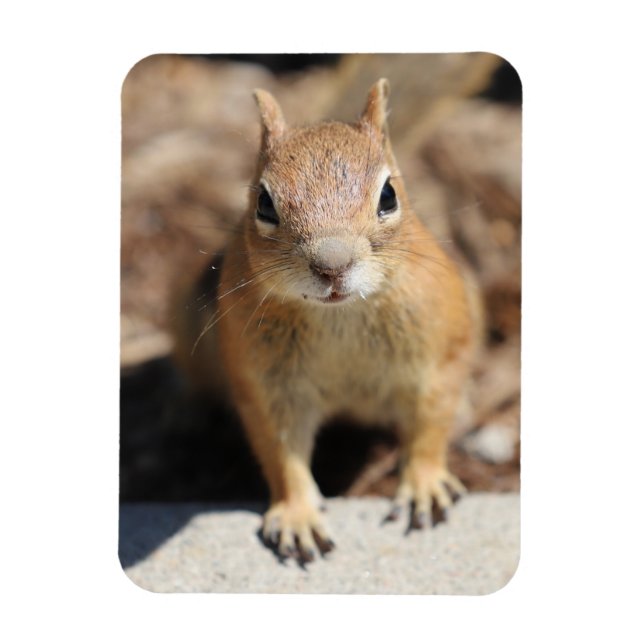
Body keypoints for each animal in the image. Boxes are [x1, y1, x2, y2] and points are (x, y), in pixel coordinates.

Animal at [172, 79, 481, 562]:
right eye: (263, 203)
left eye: (389, 195)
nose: (331, 265)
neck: (339, 315)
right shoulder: (264, 383)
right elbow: (280, 450)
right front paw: (297, 515)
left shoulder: (439, 357)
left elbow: (431, 423)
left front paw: (424, 485)